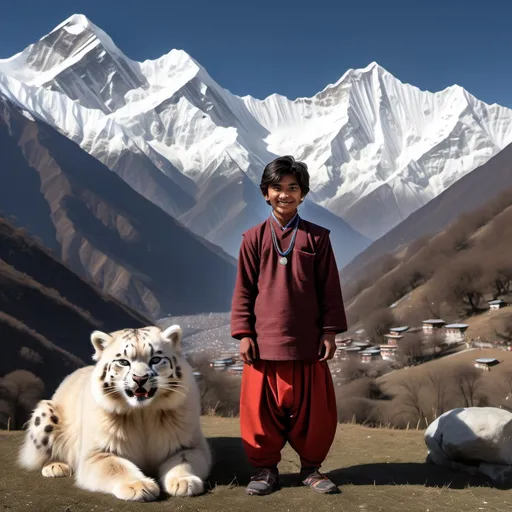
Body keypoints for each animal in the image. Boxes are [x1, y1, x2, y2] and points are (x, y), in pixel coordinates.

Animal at [17, 324, 211, 500]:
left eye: (156, 359)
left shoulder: (189, 444)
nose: (140, 378)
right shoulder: (97, 453)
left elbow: (184, 460)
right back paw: (55, 467)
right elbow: (116, 466)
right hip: (45, 415)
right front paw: (139, 486)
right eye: (123, 361)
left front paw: (184, 482)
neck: (142, 414)